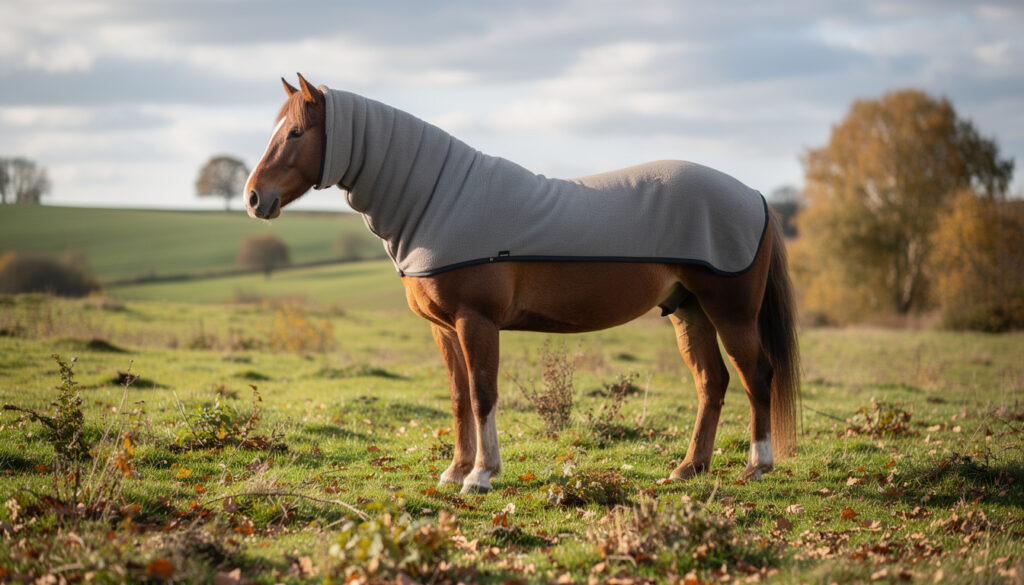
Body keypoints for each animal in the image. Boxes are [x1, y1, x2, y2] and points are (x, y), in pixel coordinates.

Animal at [244, 73, 800, 494]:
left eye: (296, 133)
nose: (253, 197)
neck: (438, 197)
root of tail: (753, 195)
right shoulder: (444, 329)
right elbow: (458, 397)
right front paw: (455, 471)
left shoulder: (476, 322)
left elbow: (483, 395)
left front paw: (481, 476)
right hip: (689, 311)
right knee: (712, 382)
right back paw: (688, 469)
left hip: (731, 313)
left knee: (757, 376)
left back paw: (757, 466)